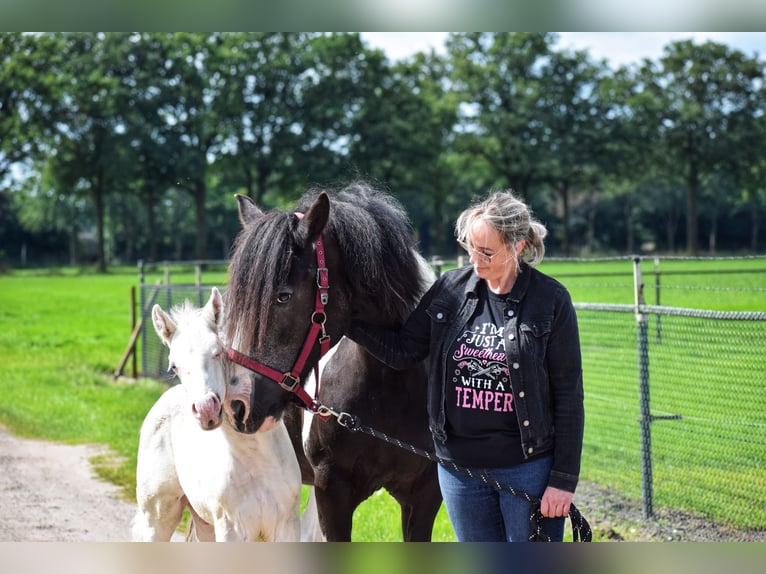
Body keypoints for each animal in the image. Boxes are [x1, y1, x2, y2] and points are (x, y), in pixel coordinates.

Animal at [130, 290, 302, 544]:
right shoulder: (232, 530)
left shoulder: (286, 527)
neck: (257, 461)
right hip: (158, 518)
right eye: (174, 367)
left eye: (218, 352)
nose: (205, 410)